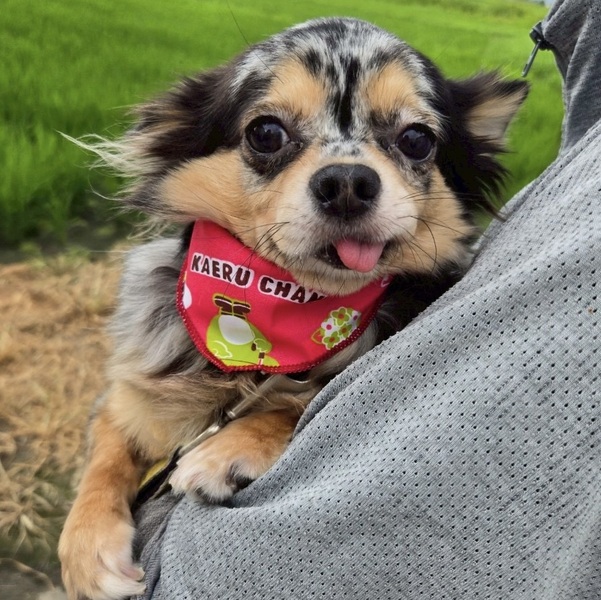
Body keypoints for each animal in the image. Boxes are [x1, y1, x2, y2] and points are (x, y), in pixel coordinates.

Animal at [58, 17, 527, 600]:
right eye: (266, 133)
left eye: (417, 139)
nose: (347, 181)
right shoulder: (130, 398)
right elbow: (105, 450)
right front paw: (87, 548)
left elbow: (297, 403)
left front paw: (228, 449)